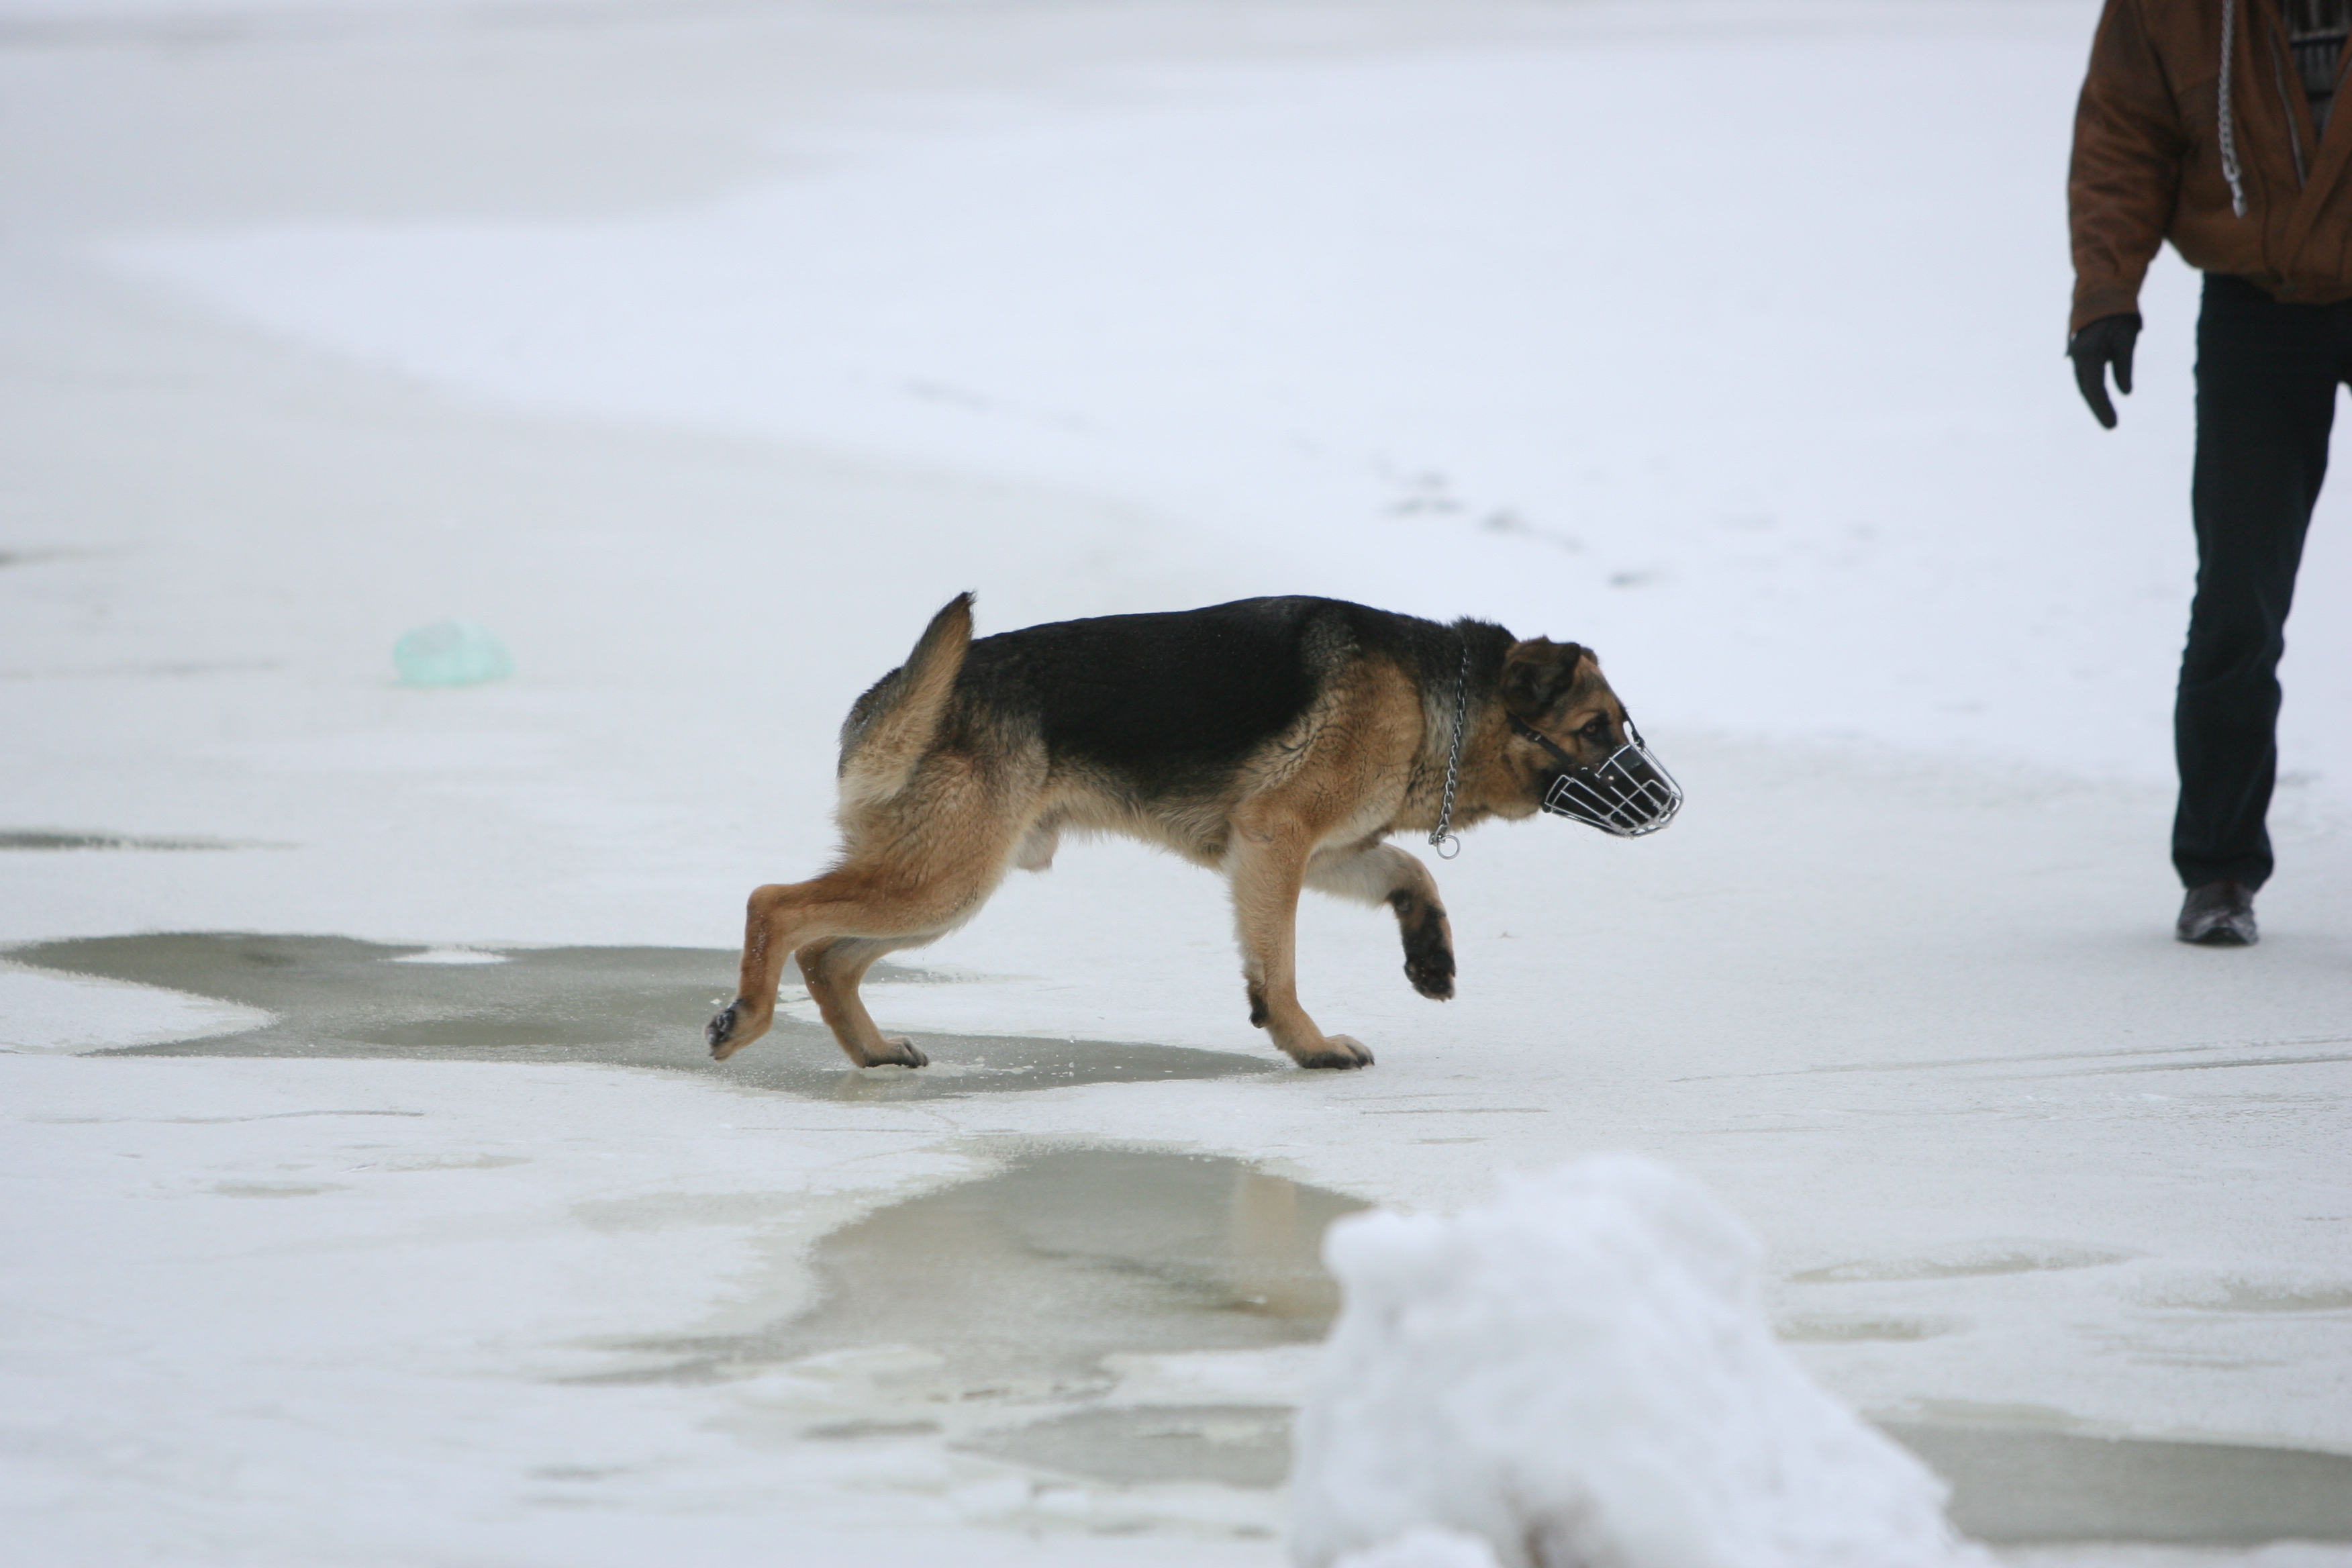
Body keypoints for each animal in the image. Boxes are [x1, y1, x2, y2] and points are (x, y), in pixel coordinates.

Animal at [705, 595, 1683, 1072]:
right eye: (1598, 729)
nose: (1672, 803)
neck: (1434, 695)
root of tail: (889, 697)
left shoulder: (1324, 852)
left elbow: (1412, 868)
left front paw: (1430, 954)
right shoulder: (1276, 839)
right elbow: (1279, 963)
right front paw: (1307, 1042)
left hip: (946, 885)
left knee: (828, 955)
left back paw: (872, 1049)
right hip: (945, 877)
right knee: (775, 904)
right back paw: (745, 1019)